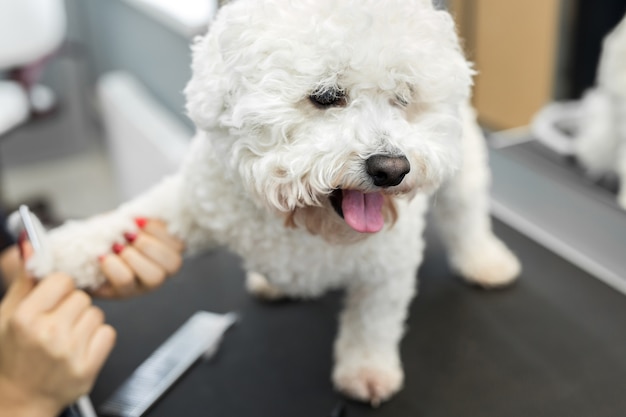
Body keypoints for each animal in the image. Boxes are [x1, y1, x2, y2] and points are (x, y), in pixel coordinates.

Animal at [29, 0, 520, 404]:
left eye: (403, 97)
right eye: (326, 96)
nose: (391, 168)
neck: (304, 218)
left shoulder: (388, 265)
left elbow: (373, 320)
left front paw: (367, 370)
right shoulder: (194, 202)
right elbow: (122, 222)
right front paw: (51, 251)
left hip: (464, 162)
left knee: (466, 210)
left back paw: (484, 261)